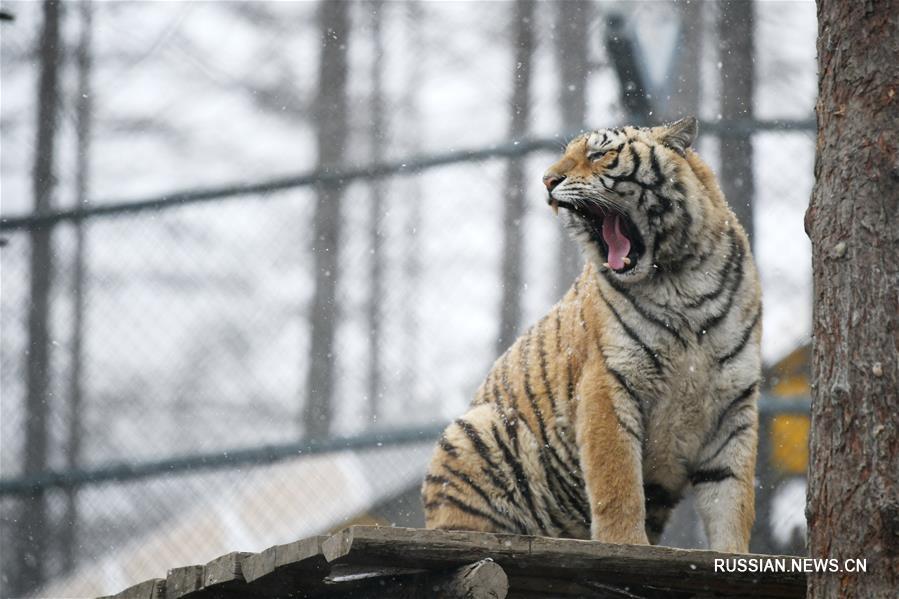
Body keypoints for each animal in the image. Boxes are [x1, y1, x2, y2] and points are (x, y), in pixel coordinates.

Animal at [422, 117, 760, 552]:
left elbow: (732, 497)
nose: (547, 180)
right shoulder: (608, 382)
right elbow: (618, 484)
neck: (680, 280)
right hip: (474, 430)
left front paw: (733, 554)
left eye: (599, 154)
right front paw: (626, 545)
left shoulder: (733, 403)